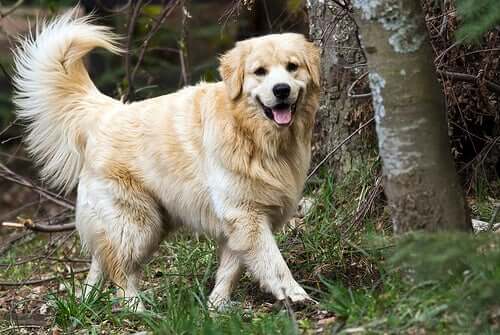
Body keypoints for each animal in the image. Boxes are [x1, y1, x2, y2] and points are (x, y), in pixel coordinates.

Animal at [12, 8, 320, 312]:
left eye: (292, 67)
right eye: (259, 72)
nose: (281, 90)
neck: (251, 132)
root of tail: (109, 111)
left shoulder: (238, 225)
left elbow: (230, 269)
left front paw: (217, 305)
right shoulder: (246, 215)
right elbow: (273, 262)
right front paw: (295, 294)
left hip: (146, 222)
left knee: (102, 258)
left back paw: (87, 299)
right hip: (137, 224)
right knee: (121, 271)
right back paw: (137, 309)